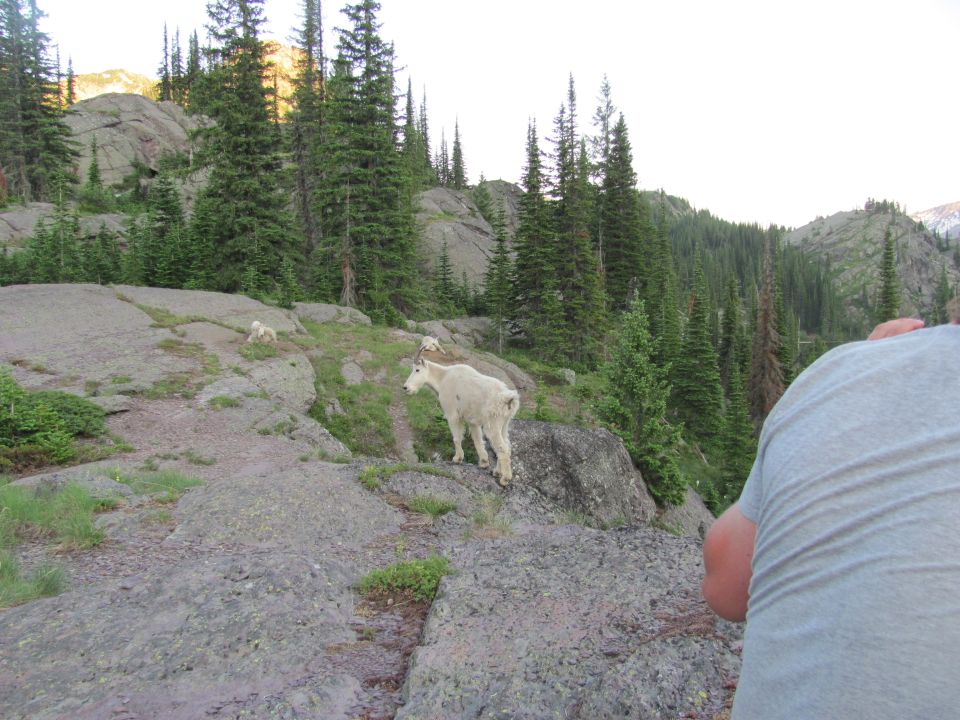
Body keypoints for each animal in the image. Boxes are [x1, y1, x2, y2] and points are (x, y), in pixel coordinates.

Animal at [403, 338, 520, 486]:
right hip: (505, 424)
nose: (406, 387)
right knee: (507, 446)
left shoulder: (452, 414)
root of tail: (509, 398)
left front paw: (457, 458)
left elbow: (457, 437)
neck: (442, 378)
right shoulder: (472, 421)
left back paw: (505, 479)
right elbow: (477, 440)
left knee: (502, 448)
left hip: (493, 423)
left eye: (417, 370)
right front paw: (483, 462)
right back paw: (497, 472)